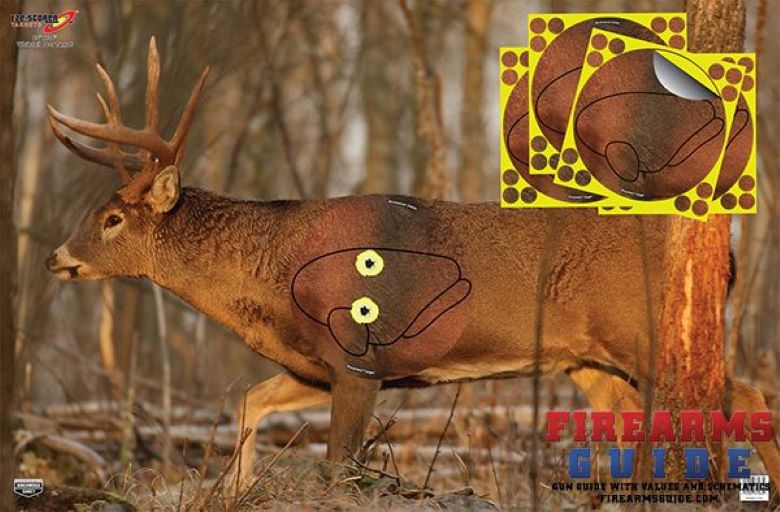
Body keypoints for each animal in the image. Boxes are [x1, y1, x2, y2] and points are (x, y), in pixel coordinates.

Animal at [45, 38, 780, 491]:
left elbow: (339, 465)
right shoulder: (313, 366)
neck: (273, 278)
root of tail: (726, 252)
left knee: (743, 395)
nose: (56, 258)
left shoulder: (359, 358)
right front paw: (238, 487)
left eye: (112, 219)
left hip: (643, 330)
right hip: (586, 360)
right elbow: (251, 402)